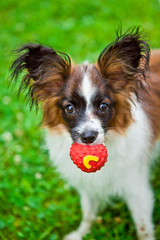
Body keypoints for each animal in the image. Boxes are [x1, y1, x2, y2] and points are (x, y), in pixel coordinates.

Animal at [10, 28, 160, 240]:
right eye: (70, 108)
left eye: (103, 106)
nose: (88, 137)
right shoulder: (88, 184)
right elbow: (88, 212)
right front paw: (81, 233)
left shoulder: (137, 188)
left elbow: (143, 227)